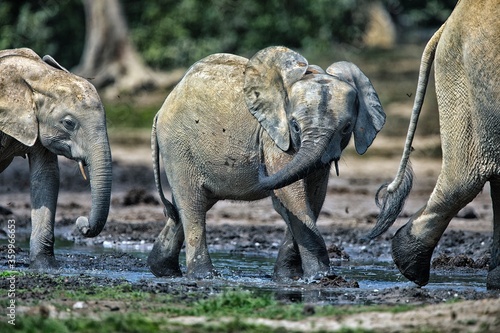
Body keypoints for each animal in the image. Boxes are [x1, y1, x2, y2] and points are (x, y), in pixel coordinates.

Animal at [150, 46, 384, 280]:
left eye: (346, 128)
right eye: (295, 126)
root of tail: (161, 108)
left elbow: (314, 197)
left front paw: (288, 278)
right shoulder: (274, 138)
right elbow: (291, 195)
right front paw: (321, 278)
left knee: (187, 206)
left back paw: (163, 270)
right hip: (178, 146)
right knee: (193, 204)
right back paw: (204, 276)